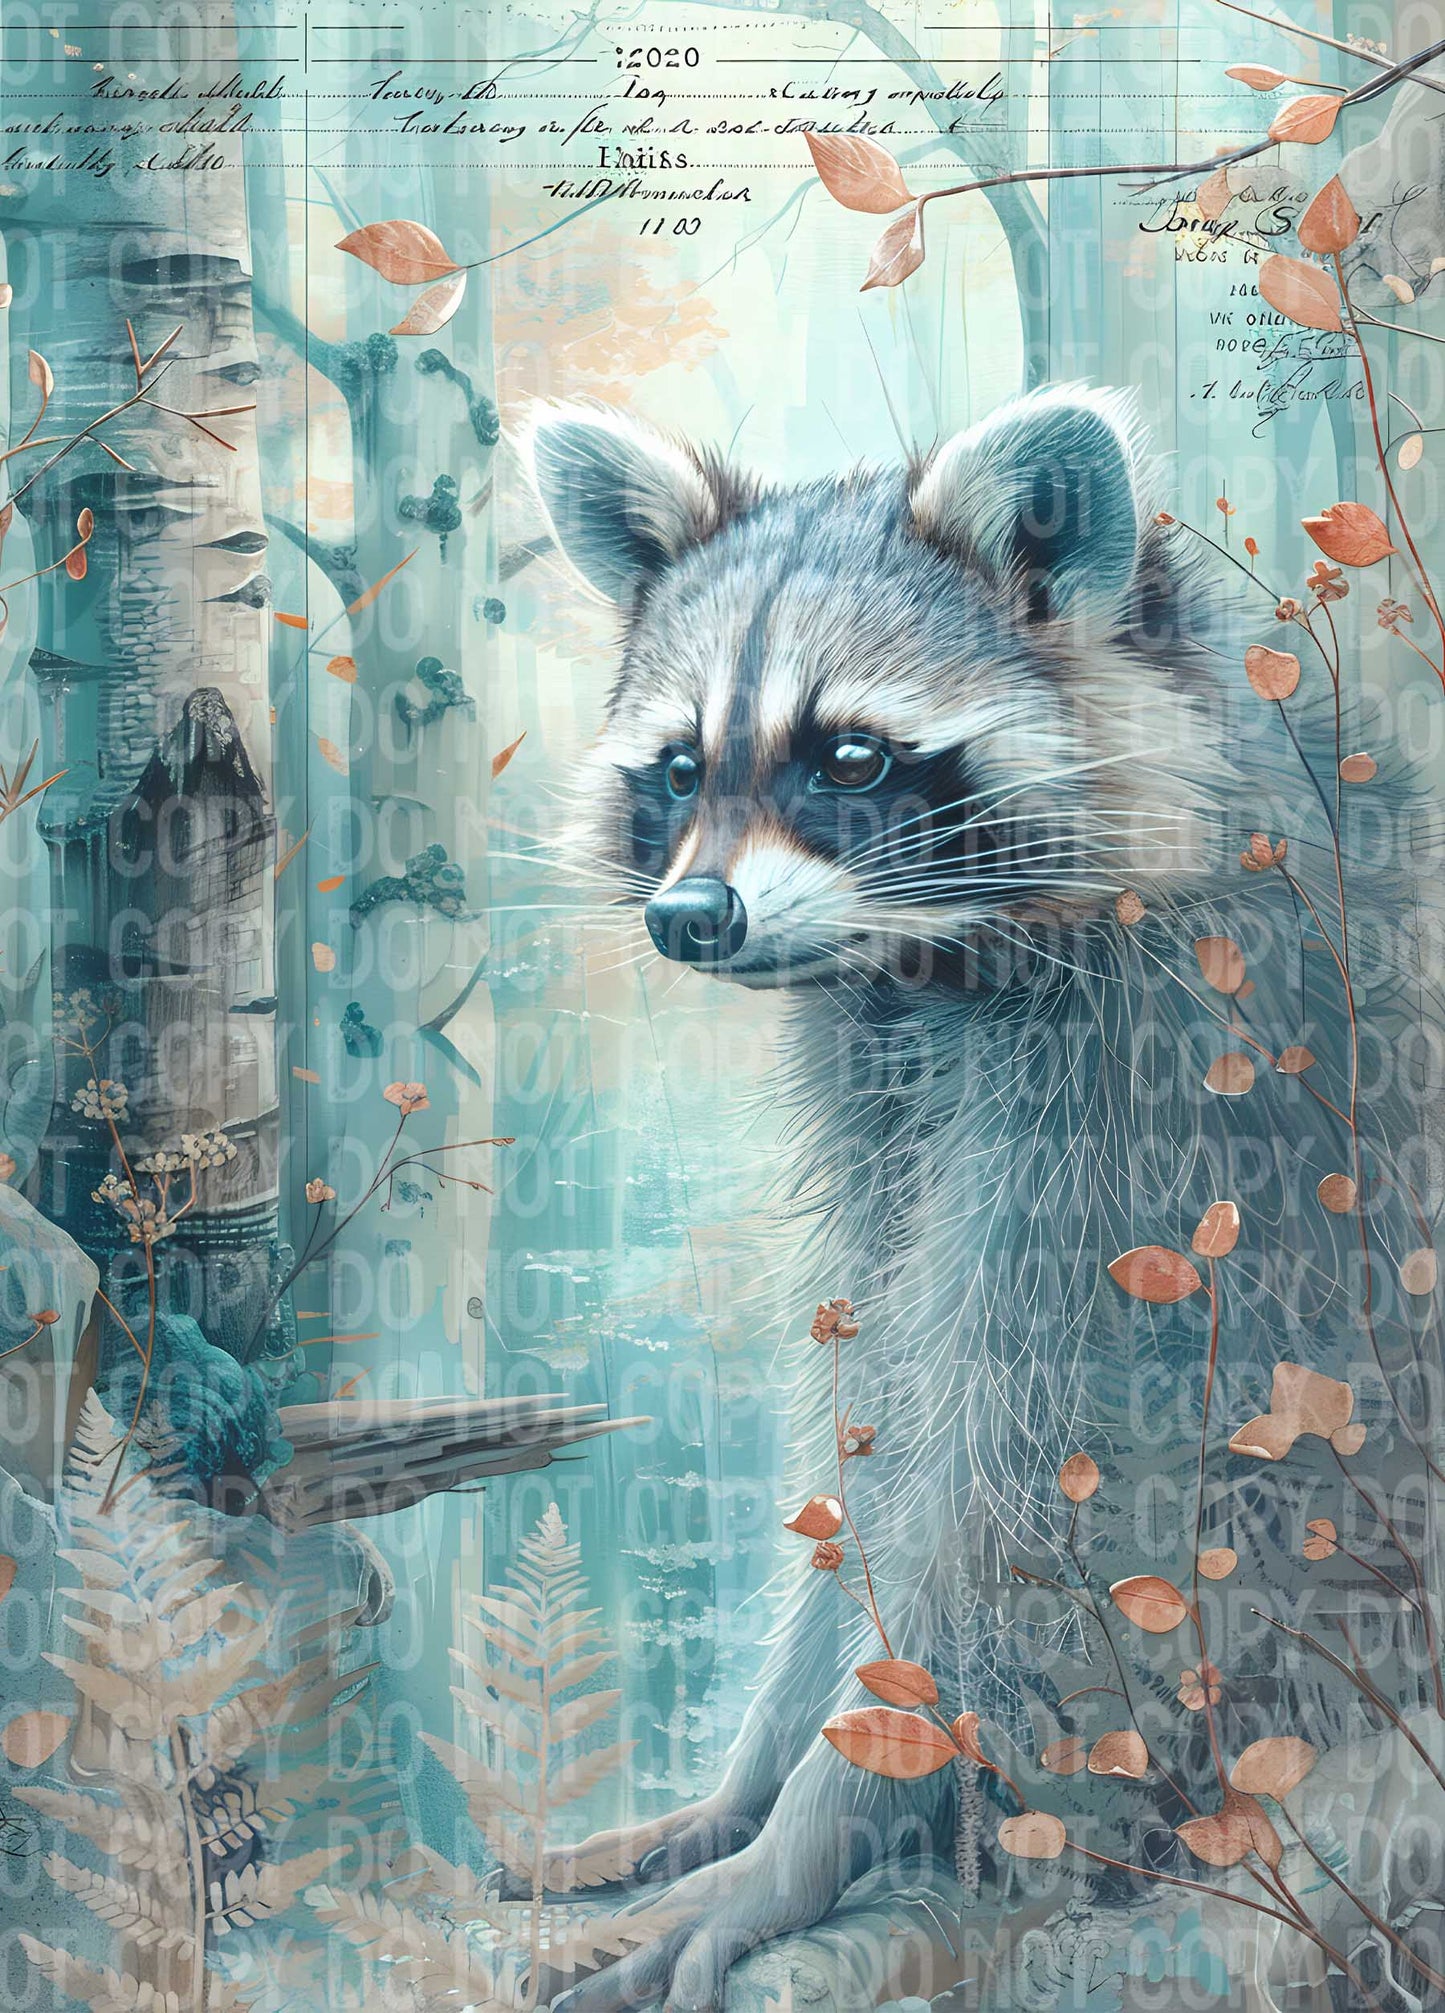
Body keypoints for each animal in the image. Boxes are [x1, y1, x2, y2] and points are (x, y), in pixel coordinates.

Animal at [522, 389, 1425, 2012]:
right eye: (680, 767)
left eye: (851, 756)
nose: (689, 918)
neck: (929, 966)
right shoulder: (880, 1096)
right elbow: (880, 1423)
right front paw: (751, 1783)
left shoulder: (1146, 1096)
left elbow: (1014, 1486)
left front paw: (801, 1836)